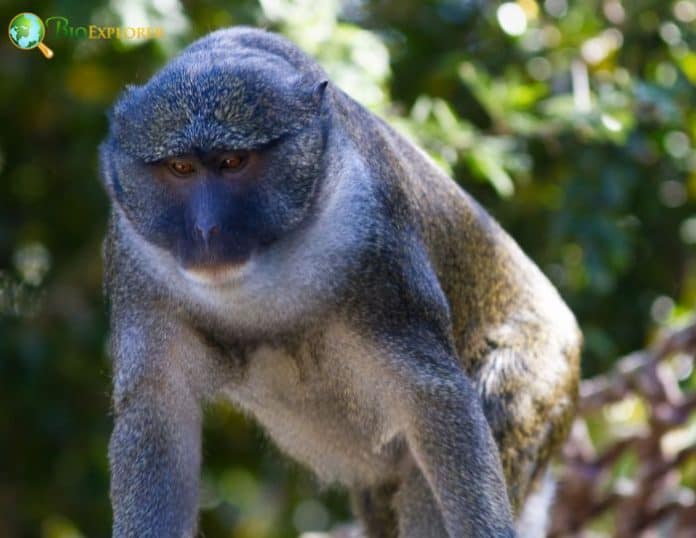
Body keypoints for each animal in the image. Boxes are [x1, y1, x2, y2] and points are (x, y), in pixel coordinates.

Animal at [99, 27, 581, 538]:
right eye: (181, 169)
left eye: (233, 162)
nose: (206, 230)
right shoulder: (136, 262)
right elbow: (158, 415)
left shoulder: (374, 243)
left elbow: (436, 399)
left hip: (538, 381)